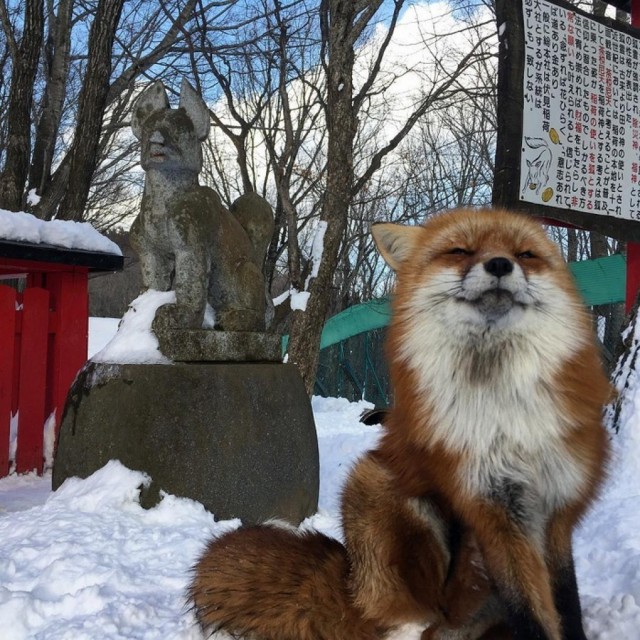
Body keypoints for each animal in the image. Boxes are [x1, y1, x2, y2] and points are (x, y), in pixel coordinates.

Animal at [189, 208, 608, 636]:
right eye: (459, 251)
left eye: (525, 254)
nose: (499, 264)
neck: (504, 412)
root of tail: (351, 582)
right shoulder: (495, 513)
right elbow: (531, 616)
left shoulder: (557, 508)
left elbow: (566, 605)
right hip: (376, 484)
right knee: (428, 619)